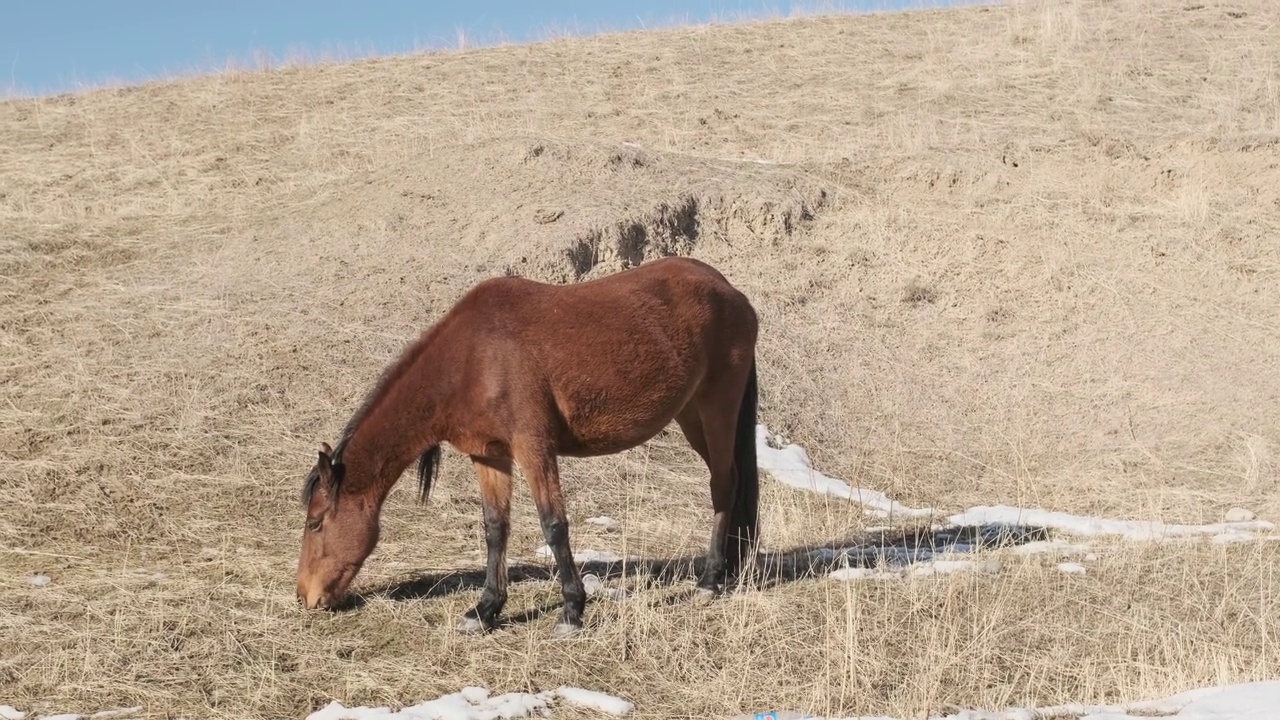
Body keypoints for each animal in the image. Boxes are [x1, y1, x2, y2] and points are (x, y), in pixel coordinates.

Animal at [299, 254, 757, 635]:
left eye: (315, 522)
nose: (306, 596)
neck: (471, 360)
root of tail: (728, 290)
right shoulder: (489, 455)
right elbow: (495, 529)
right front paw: (485, 610)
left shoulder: (533, 448)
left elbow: (553, 525)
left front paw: (572, 611)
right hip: (691, 416)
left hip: (716, 408)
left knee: (723, 484)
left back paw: (710, 581)